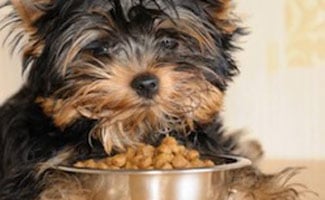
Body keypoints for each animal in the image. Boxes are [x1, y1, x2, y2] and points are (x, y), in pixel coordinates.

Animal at [0, 0, 308, 200]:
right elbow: (49, 177)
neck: (137, 129)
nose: (146, 81)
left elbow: (240, 167)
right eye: (101, 49)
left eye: (169, 42)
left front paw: (267, 189)